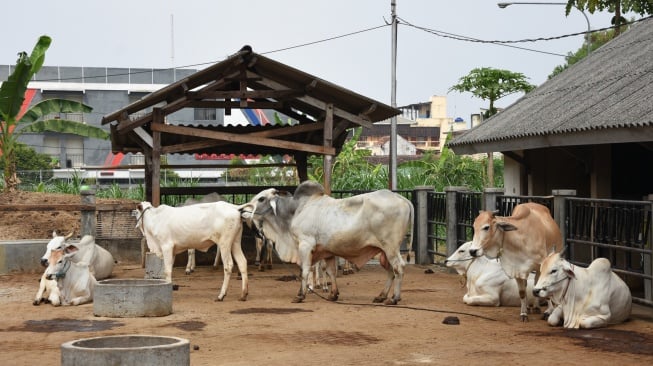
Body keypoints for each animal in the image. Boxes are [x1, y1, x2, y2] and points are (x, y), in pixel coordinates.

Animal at [239, 179, 412, 304]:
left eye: (261, 198)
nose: (242, 210)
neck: (296, 211)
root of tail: (401, 198)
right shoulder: (327, 252)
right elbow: (331, 272)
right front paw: (333, 294)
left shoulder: (305, 245)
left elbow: (304, 270)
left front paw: (300, 295)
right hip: (383, 251)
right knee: (390, 271)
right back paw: (381, 296)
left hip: (390, 247)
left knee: (399, 268)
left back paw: (394, 298)